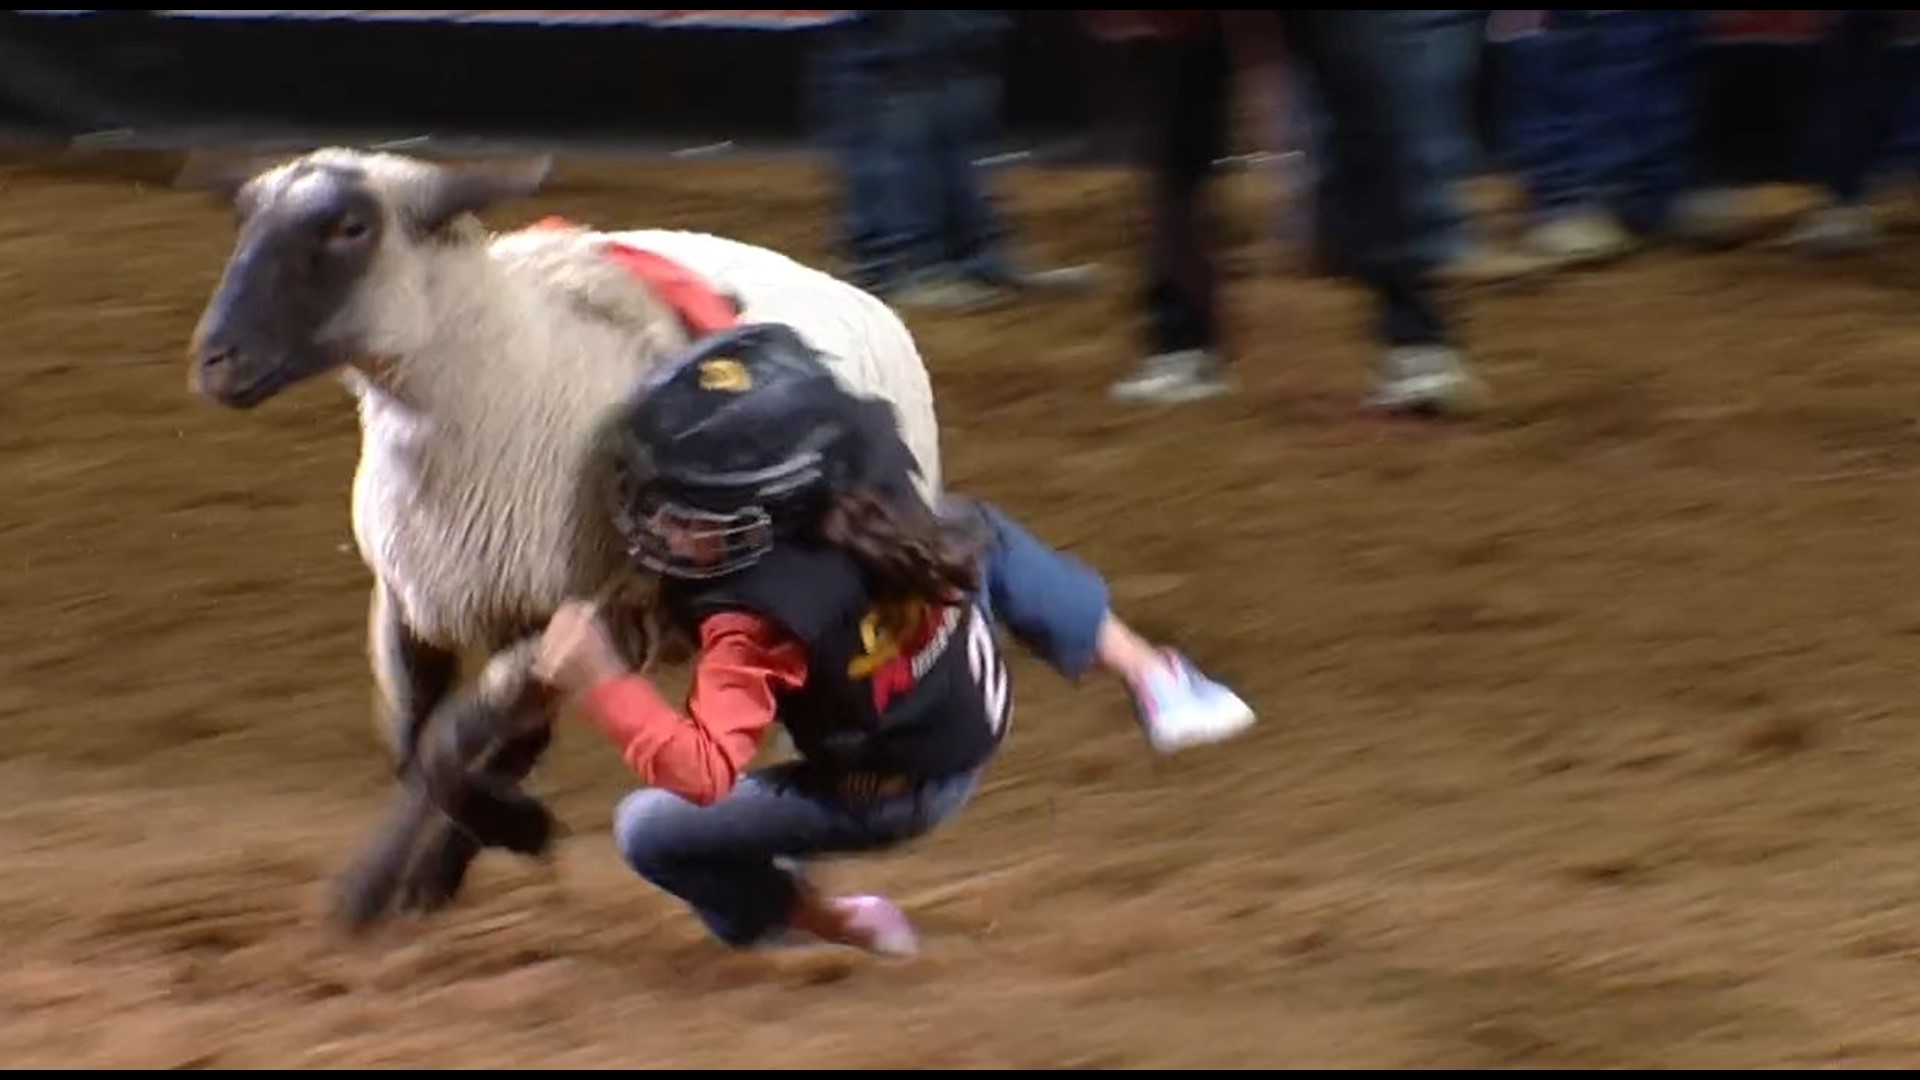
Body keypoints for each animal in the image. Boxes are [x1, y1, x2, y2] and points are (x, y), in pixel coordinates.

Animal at [183, 147, 948, 930]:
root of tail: (860, 297)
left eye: (350, 227)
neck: (490, 386)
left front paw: (416, 871)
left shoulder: (582, 612)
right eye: (246, 219)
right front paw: (427, 870)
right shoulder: (408, 599)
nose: (214, 360)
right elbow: (412, 742)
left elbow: (446, 745)